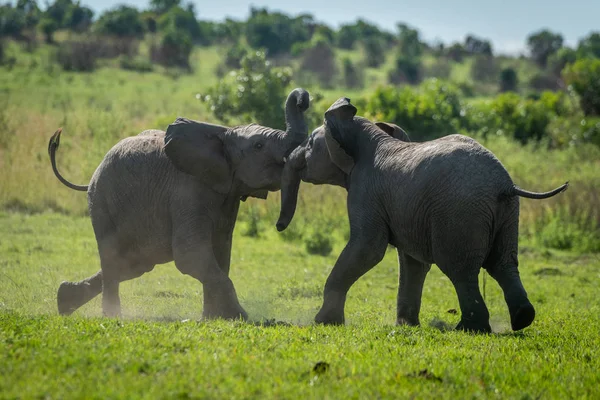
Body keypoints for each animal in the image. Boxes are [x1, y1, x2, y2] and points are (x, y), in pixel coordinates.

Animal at [49, 89, 312, 320]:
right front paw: (242, 318)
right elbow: (191, 254)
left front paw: (214, 319)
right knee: (114, 256)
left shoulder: (227, 195)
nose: (304, 100)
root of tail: (92, 177)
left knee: (136, 263)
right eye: (258, 146)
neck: (223, 134)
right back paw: (111, 315)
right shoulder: (188, 191)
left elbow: (220, 251)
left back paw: (64, 300)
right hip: (102, 202)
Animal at [276, 97, 568, 334]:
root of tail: (504, 184)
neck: (369, 134)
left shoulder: (365, 190)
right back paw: (522, 319)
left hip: (460, 212)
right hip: (507, 213)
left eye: (310, 144)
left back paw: (468, 328)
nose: (279, 227)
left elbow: (368, 249)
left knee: (460, 269)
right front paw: (406, 326)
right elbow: (413, 262)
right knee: (504, 263)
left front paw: (324, 322)